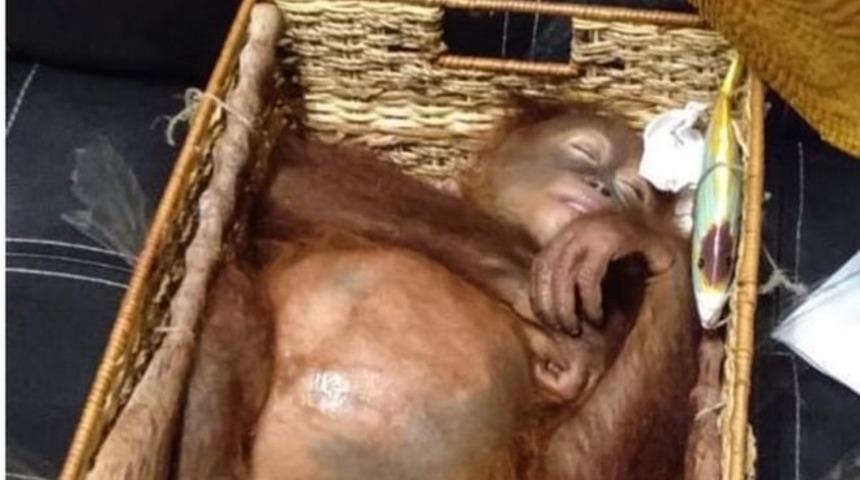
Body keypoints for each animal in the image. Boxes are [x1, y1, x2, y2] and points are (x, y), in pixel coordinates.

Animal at [177, 101, 702, 480]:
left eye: (633, 192)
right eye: (584, 152)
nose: (603, 189)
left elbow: (571, 469)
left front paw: (630, 235)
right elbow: (282, 175)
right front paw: (551, 309)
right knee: (230, 302)